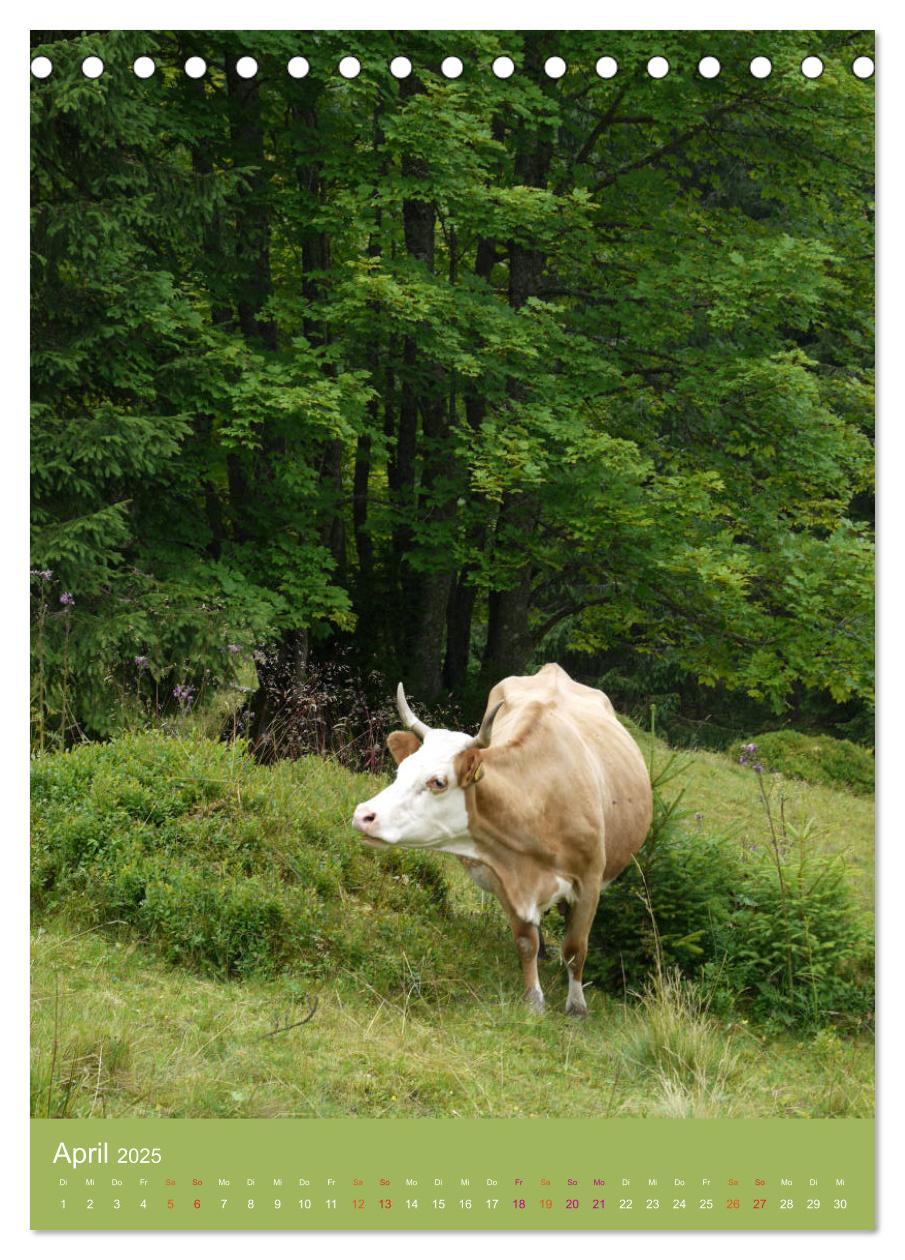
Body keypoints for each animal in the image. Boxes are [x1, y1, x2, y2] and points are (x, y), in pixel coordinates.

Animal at [350, 665, 655, 1018]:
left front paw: (577, 1005)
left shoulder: (590, 882)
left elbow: (576, 948)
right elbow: (525, 941)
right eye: (402, 770)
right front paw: (533, 999)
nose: (363, 815)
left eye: (438, 782)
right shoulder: (503, 874)